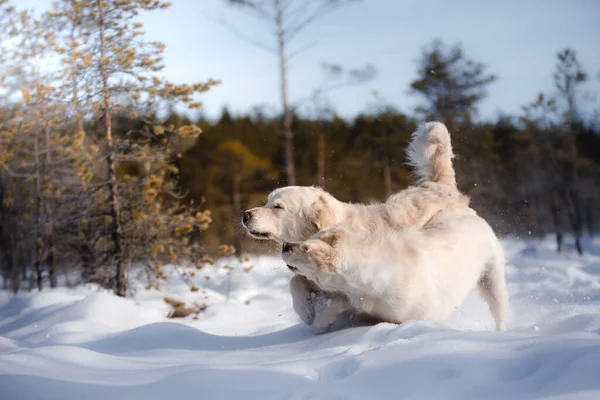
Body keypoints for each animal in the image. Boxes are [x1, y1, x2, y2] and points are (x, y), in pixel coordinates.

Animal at [244, 121, 474, 332]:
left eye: (277, 206)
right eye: (267, 201)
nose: (245, 215)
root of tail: (440, 186)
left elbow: (338, 300)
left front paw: (319, 319)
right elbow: (296, 283)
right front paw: (306, 311)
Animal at [282, 212, 506, 332]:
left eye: (305, 248)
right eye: (307, 239)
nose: (285, 245)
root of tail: (474, 216)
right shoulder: (355, 295)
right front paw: (313, 318)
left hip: (492, 276)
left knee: (499, 308)